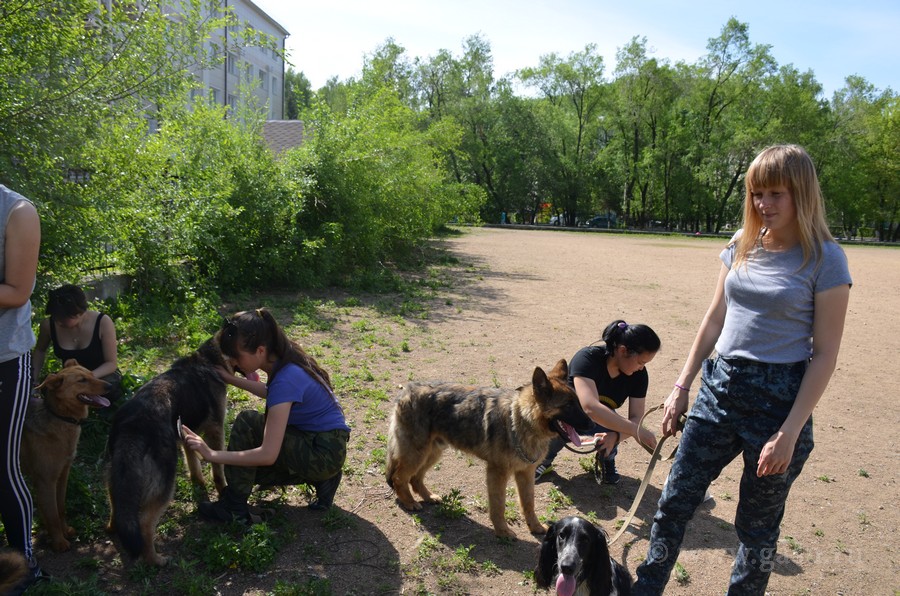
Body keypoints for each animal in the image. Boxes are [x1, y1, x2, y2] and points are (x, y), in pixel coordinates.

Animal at [21, 359, 111, 552]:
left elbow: (60, 508)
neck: (60, 417)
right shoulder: (45, 480)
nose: (111, 386)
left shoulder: (63, 475)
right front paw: (59, 542)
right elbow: (52, 514)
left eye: (92, 374)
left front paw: (64, 531)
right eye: (82, 380)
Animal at [106, 336, 230, 566]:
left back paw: (113, 529)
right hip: (164, 483)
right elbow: (218, 469)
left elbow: (193, 463)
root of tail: (133, 424)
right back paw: (155, 559)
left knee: (116, 506)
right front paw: (222, 490)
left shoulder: (187, 433)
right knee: (145, 523)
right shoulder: (216, 430)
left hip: (117, 474)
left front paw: (199, 483)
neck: (206, 359)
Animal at [385, 359, 591, 538]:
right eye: (568, 405)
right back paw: (409, 502)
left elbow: (528, 503)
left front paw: (535, 526)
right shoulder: (497, 473)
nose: (591, 423)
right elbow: (498, 505)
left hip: (432, 453)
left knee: (415, 478)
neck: (520, 420)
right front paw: (502, 532)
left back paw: (428, 496)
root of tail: (406, 391)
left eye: (578, 402)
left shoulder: (526, 473)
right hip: (416, 453)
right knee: (399, 477)